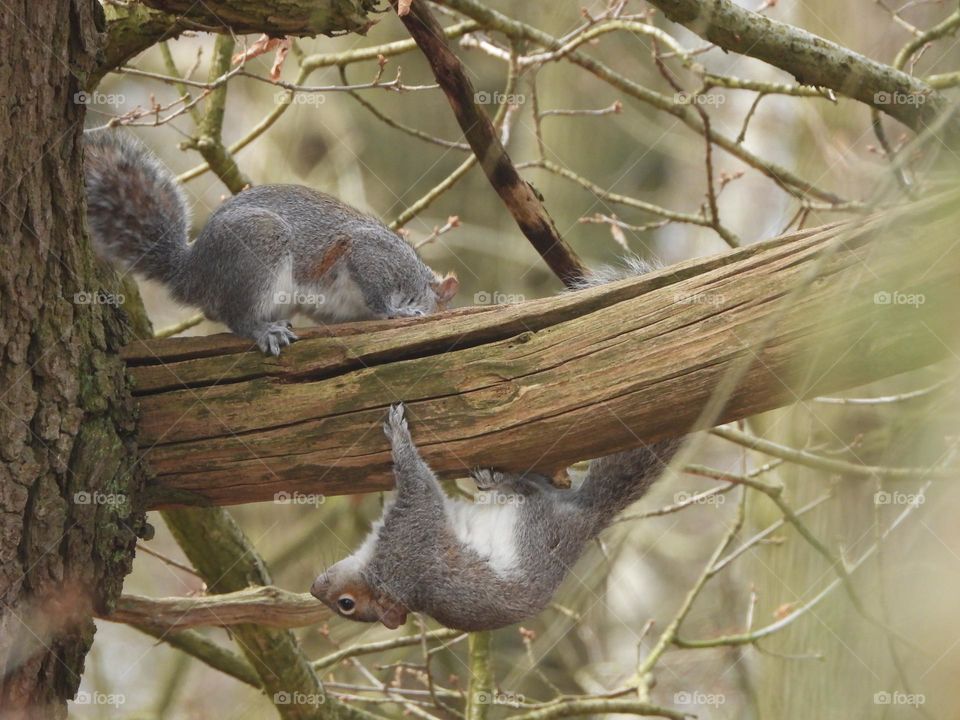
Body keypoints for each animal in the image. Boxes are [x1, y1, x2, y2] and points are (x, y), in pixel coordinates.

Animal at [82, 130, 459, 355]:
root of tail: (191, 274)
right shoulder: (374, 255)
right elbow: (378, 293)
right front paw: (399, 311)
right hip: (260, 247)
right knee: (237, 317)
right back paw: (264, 331)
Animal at [310, 260, 682, 632]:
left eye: (346, 604)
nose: (314, 587)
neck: (384, 574)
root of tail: (584, 519)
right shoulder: (413, 537)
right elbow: (420, 485)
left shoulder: (412, 536)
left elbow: (418, 484)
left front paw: (399, 437)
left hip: (531, 524)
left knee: (533, 491)